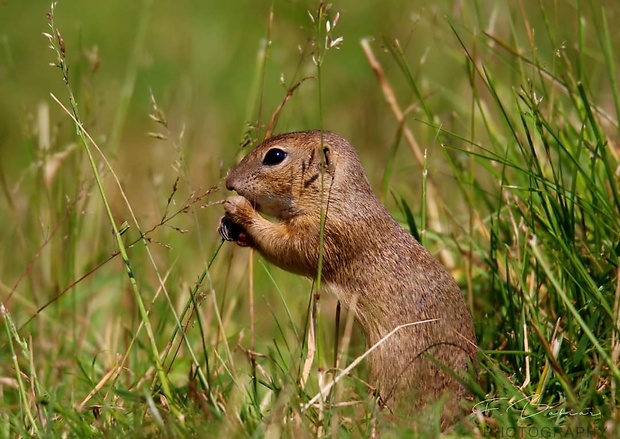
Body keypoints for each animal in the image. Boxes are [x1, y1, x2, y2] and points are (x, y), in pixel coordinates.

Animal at [220, 131, 478, 430]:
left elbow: (287, 247)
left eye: (275, 156)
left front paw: (240, 210)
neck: (337, 196)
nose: (229, 182)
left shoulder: (326, 232)